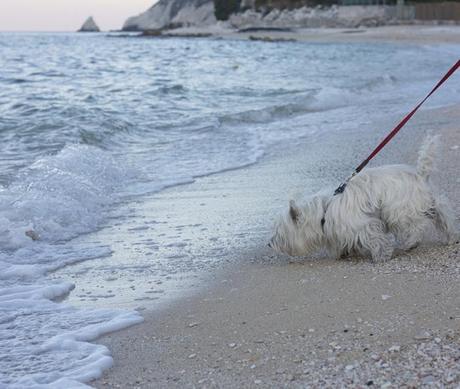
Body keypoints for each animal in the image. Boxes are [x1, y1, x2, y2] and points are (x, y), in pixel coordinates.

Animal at [270, 135, 456, 262]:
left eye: (279, 233)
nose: (269, 244)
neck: (324, 212)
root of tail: (419, 174)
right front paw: (345, 252)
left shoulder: (362, 224)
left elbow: (374, 238)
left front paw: (381, 255)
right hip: (429, 202)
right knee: (443, 215)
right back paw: (452, 237)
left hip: (400, 209)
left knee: (416, 226)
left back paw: (411, 243)